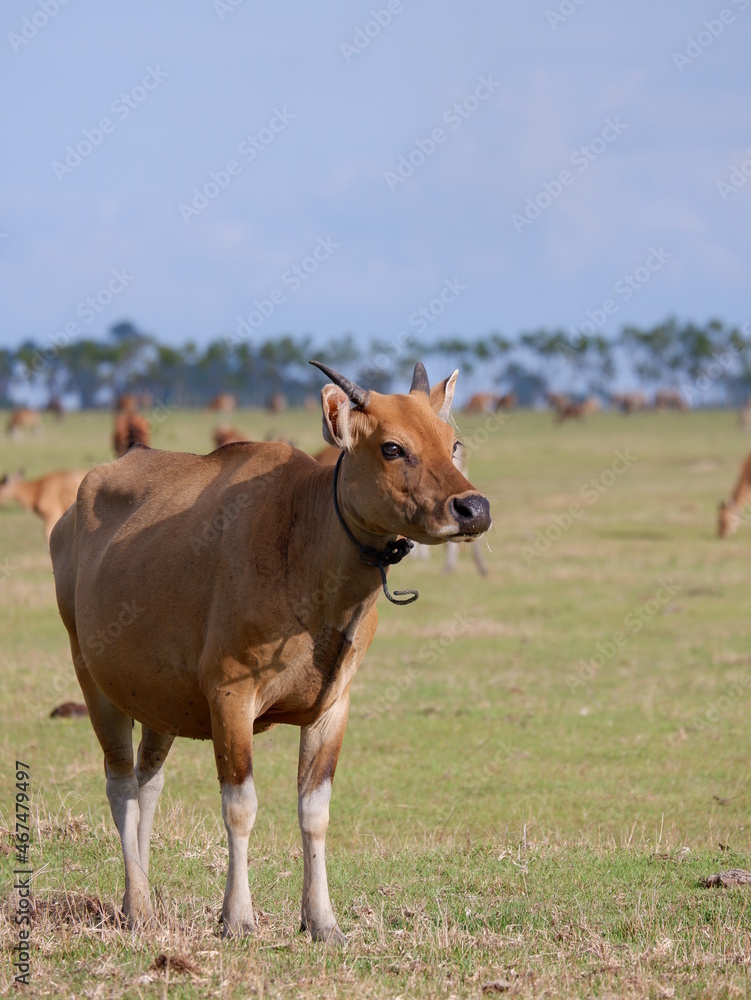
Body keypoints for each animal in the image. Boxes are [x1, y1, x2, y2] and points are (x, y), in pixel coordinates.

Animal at [50, 364, 490, 940]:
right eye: (393, 447)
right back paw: (139, 905)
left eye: (452, 442)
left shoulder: (333, 707)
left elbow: (314, 811)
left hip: (159, 704)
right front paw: (237, 916)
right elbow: (241, 807)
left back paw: (135, 900)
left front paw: (322, 920)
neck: (303, 548)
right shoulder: (230, 698)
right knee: (121, 785)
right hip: (94, 683)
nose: (473, 508)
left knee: (149, 782)